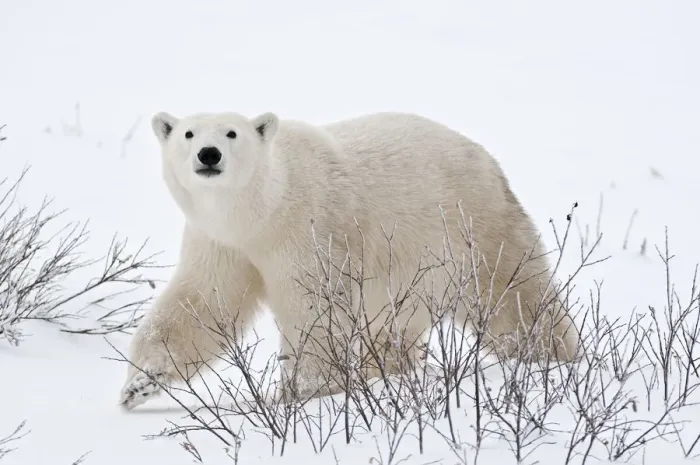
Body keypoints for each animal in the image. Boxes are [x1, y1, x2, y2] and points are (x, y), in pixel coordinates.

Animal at [118, 110, 580, 410]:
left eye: (232, 133)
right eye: (188, 133)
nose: (209, 154)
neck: (262, 210)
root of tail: (484, 156)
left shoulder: (307, 226)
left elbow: (313, 307)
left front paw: (299, 391)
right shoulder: (222, 241)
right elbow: (201, 302)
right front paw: (140, 384)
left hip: (469, 223)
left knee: (510, 291)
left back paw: (548, 356)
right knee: (393, 324)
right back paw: (386, 371)